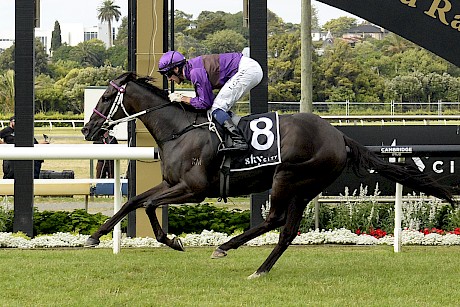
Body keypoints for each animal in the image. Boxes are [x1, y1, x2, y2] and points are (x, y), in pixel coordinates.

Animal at [81, 72, 454, 280]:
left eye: (105, 96)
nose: (86, 130)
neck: (180, 129)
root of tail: (339, 136)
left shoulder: (194, 189)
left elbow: (148, 206)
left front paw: (172, 241)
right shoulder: (173, 183)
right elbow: (132, 202)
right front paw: (94, 236)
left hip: (288, 177)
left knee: (274, 219)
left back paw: (226, 247)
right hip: (304, 189)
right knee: (286, 231)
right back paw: (260, 269)